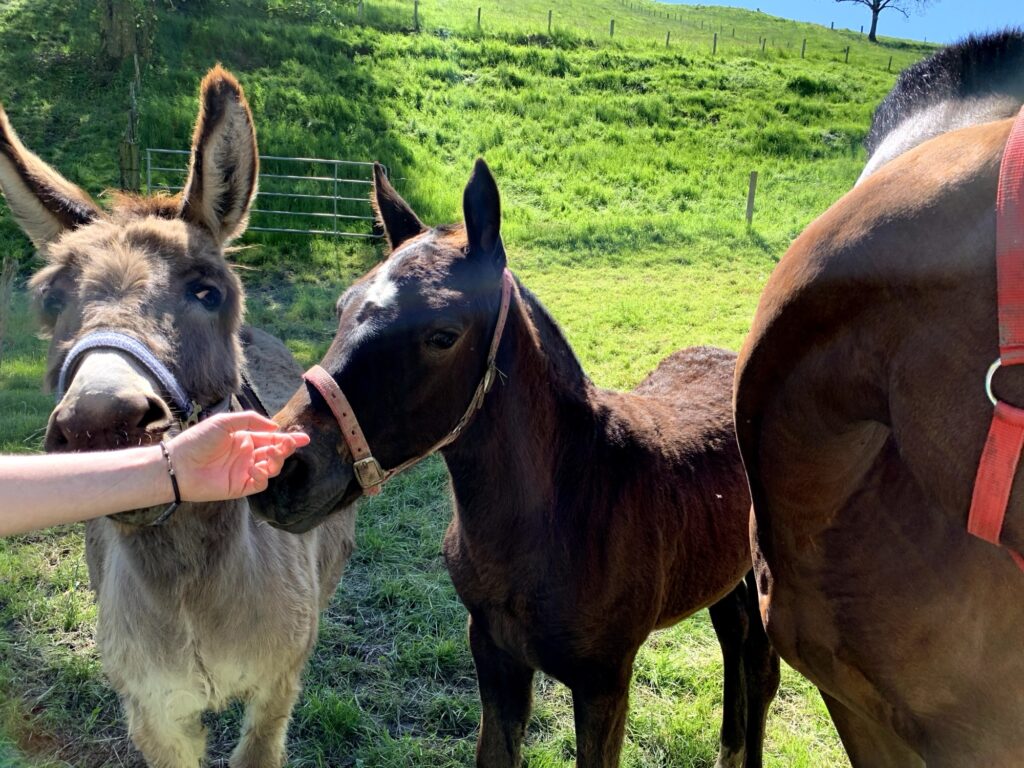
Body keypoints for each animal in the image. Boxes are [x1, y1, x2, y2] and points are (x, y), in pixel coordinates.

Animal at [0, 66, 354, 768]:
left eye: (206, 291)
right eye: (51, 301)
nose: (101, 425)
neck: (191, 592)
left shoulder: (276, 686)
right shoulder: (153, 711)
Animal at [251, 159, 780, 767]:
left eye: (442, 335)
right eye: (342, 309)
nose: (284, 470)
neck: (565, 509)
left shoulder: (604, 681)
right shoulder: (494, 654)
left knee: (759, 666)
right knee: (734, 642)